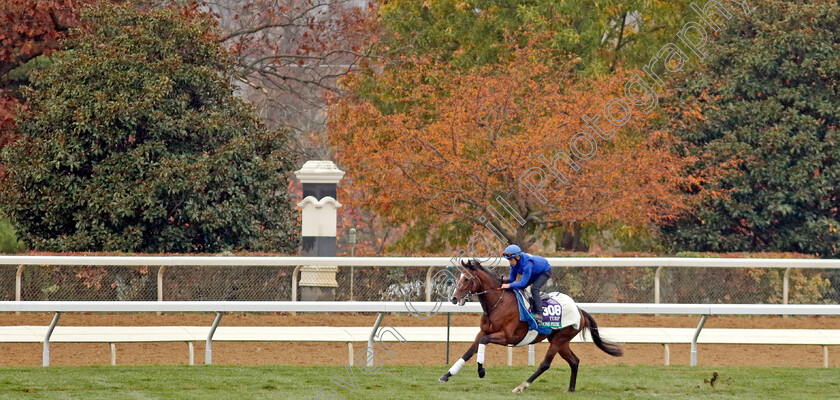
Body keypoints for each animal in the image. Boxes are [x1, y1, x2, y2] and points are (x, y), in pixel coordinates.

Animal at [436, 258, 620, 392]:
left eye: (466, 278)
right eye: (458, 278)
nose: (453, 298)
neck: (498, 304)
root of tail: (580, 310)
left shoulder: (507, 337)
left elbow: (483, 342)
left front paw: (481, 371)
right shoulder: (482, 332)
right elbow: (468, 351)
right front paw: (446, 375)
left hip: (559, 339)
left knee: (545, 364)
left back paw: (521, 386)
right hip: (561, 341)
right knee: (574, 361)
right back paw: (570, 389)